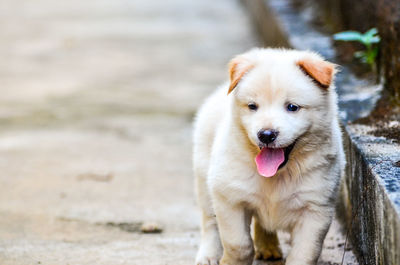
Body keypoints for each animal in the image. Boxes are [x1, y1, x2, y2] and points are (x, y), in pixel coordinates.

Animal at [192, 48, 346, 264]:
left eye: (292, 107)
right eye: (252, 106)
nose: (266, 135)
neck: (278, 176)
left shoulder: (316, 209)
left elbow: (304, 254)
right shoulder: (229, 198)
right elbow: (238, 244)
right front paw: (230, 260)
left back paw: (268, 247)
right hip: (204, 178)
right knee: (209, 222)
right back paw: (209, 255)